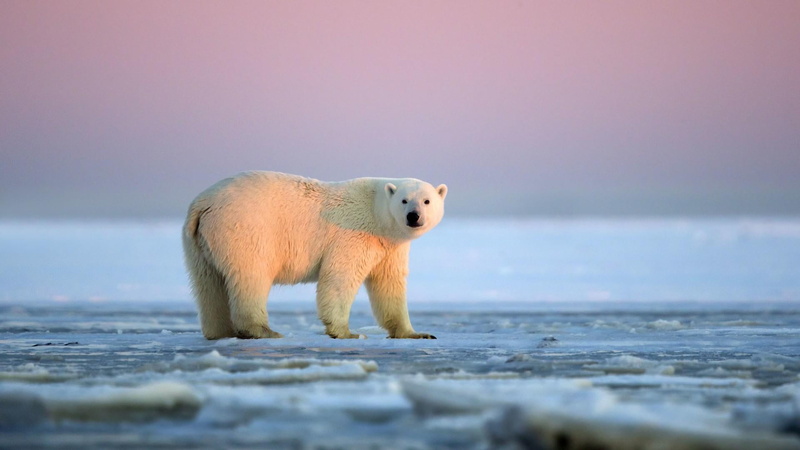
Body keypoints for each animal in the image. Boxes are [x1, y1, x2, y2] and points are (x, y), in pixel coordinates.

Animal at [182, 171, 447, 340]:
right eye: (404, 200)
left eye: (427, 200)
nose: (413, 216)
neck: (376, 212)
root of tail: (202, 203)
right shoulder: (353, 234)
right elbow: (340, 277)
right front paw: (347, 333)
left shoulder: (389, 247)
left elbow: (389, 285)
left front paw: (417, 333)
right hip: (244, 229)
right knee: (251, 276)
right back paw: (263, 330)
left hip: (198, 242)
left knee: (208, 284)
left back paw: (220, 332)